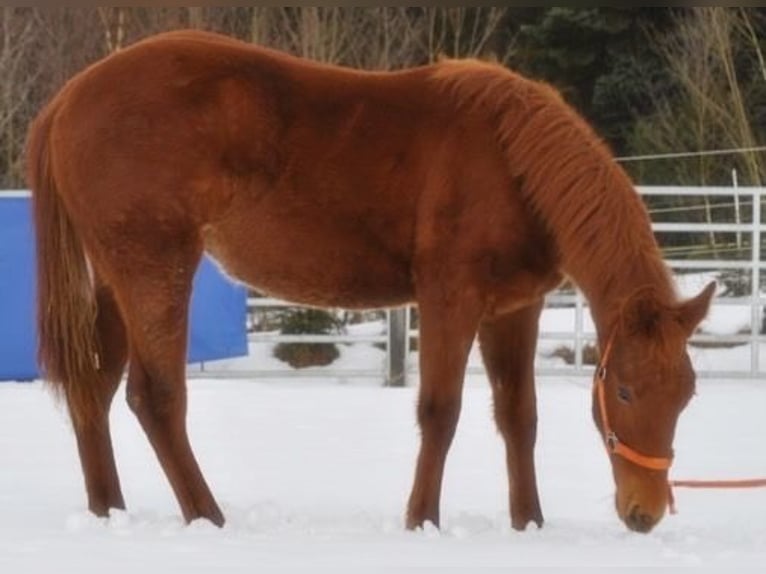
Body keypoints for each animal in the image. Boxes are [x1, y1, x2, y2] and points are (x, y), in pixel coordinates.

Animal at [27, 30, 714, 534]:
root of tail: (70, 96)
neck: (510, 161)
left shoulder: (514, 310)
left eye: (685, 396)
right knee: (157, 397)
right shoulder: (449, 300)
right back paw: (207, 516)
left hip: (115, 278)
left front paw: (530, 524)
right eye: (623, 391)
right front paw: (422, 520)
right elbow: (441, 411)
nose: (645, 514)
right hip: (156, 269)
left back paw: (109, 511)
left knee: (95, 388)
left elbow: (519, 415)